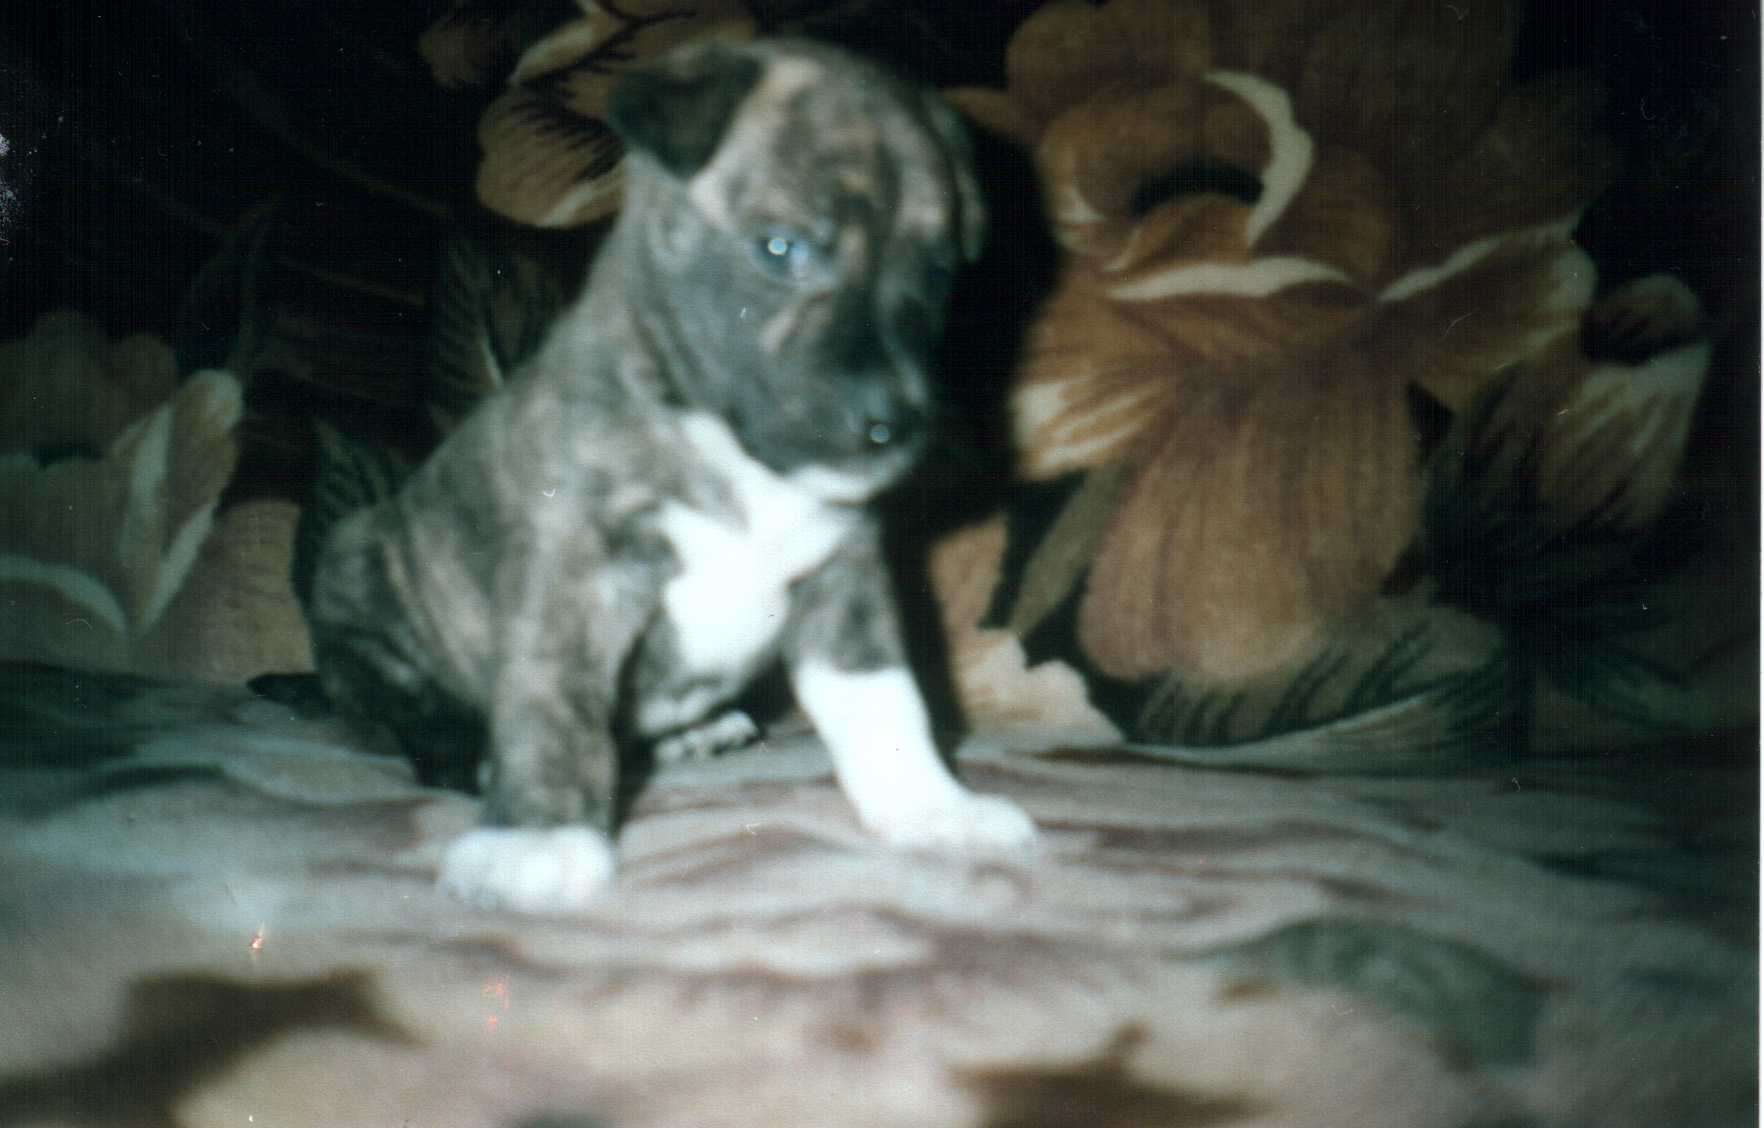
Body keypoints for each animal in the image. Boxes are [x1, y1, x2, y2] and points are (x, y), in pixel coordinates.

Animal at [306, 37, 1037, 913]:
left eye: (935, 274)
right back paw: (469, 756)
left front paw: (932, 809)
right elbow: (553, 711)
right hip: (357, 571)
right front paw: (538, 838)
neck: (731, 453)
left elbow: (887, 704)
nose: (892, 424)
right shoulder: (574, 578)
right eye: (782, 247)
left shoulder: (844, 587)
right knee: (411, 716)